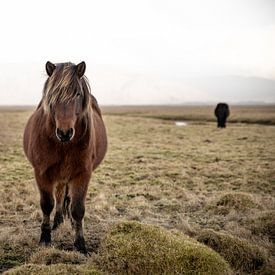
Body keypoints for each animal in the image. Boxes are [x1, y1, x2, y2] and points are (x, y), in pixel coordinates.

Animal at [23, 61, 108, 254]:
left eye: (77, 94)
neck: (63, 145)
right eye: (52, 95)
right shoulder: (42, 173)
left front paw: (81, 245)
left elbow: (77, 209)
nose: (64, 132)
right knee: (60, 195)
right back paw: (57, 221)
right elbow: (47, 204)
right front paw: (45, 238)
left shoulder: (82, 174)